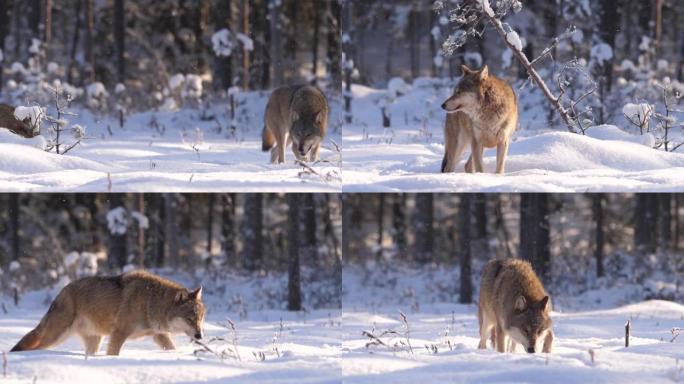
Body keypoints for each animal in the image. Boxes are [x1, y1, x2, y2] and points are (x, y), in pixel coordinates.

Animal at [10, 270, 204, 356]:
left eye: (201, 319)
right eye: (190, 318)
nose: (200, 336)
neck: (151, 302)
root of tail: (60, 293)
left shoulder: (158, 335)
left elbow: (171, 347)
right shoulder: (119, 333)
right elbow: (114, 353)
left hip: (94, 340)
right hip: (55, 337)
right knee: (35, 347)